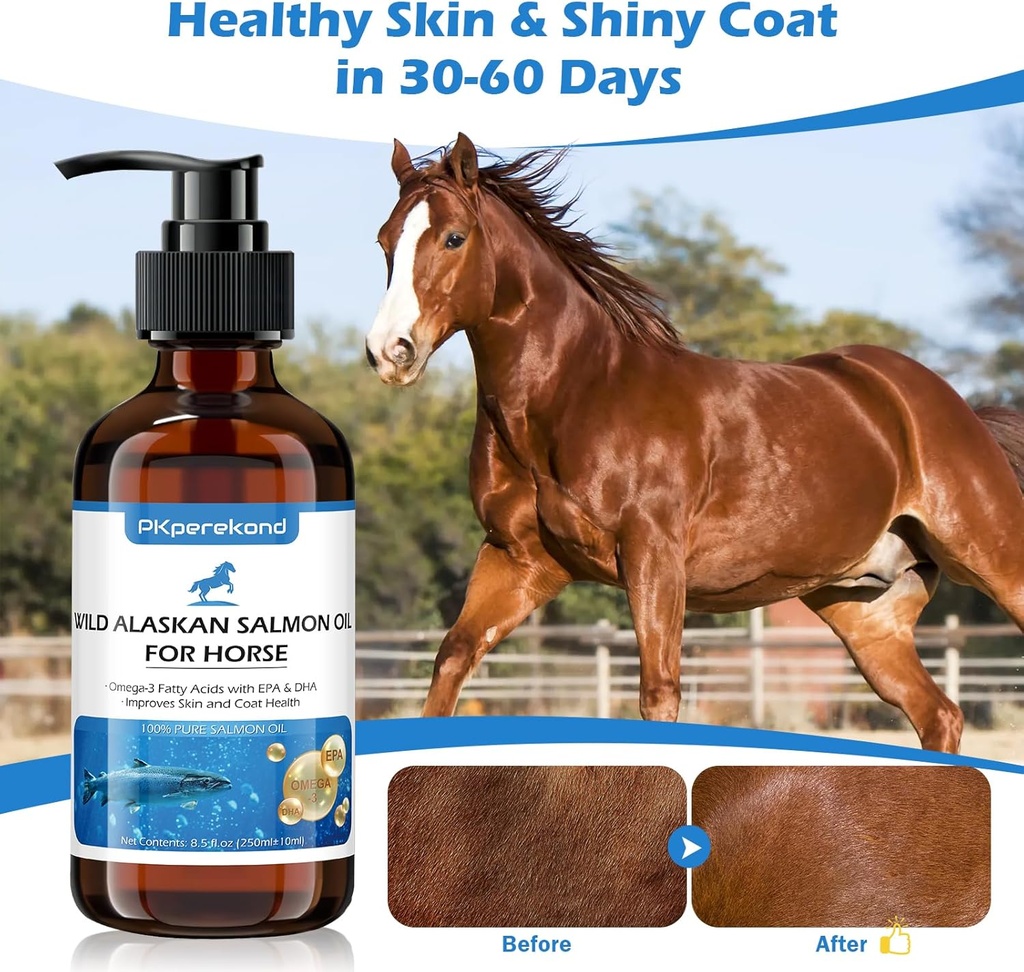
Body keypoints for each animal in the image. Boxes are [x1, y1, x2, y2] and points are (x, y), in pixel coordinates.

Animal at [365, 134, 1024, 753]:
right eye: (385, 241)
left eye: (453, 238)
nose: (390, 351)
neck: (577, 394)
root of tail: (951, 407)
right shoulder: (519, 560)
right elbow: (453, 657)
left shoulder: (653, 558)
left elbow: (659, 694)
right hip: (861, 610)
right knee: (940, 714)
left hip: (993, 561)